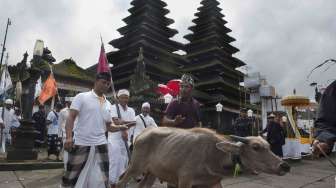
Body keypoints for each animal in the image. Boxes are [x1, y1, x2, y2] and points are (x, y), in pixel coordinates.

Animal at [115, 127, 288, 187]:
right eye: (256, 147)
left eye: (269, 146)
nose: (284, 166)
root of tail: (141, 134)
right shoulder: (184, 181)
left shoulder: (212, 183)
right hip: (134, 167)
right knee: (119, 183)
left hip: (152, 173)